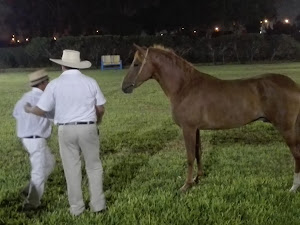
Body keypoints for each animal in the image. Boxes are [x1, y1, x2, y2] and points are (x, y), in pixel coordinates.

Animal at [122, 44, 300, 192]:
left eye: (136, 64)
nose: (124, 87)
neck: (185, 87)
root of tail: (294, 86)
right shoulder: (196, 129)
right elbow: (198, 153)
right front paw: (197, 178)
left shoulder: (188, 129)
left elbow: (189, 157)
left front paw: (185, 186)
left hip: (287, 129)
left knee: (296, 155)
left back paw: (293, 187)